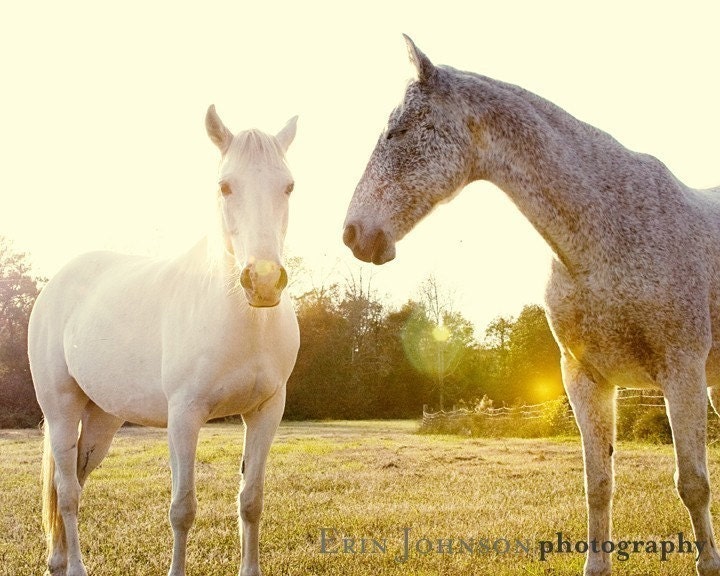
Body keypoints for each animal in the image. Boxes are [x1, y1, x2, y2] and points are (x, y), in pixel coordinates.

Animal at [28, 105, 300, 576]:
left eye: (288, 186)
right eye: (225, 186)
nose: (264, 282)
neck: (243, 319)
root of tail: (55, 285)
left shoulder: (266, 411)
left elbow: (251, 501)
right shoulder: (185, 416)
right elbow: (182, 509)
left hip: (102, 421)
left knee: (74, 480)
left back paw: (57, 562)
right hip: (61, 409)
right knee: (68, 493)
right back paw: (75, 567)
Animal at [343, 35, 720, 576]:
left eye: (399, 132)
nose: (354, 234)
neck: (607, 232)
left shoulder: (681, 373)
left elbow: (692, 484)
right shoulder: (586, 379)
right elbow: (598, 485)